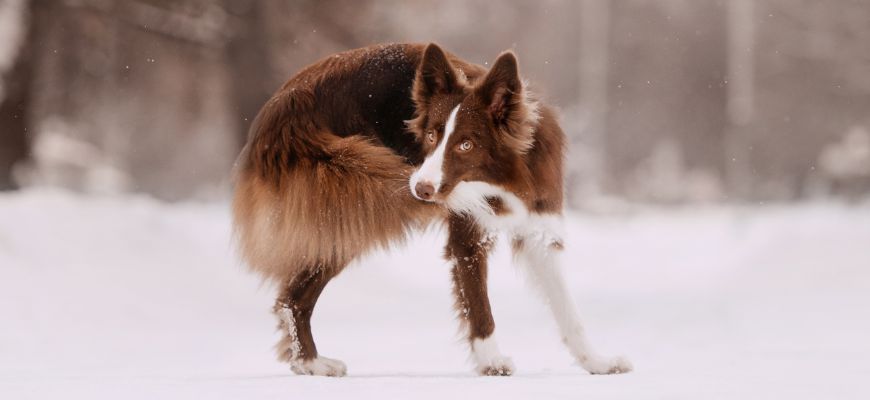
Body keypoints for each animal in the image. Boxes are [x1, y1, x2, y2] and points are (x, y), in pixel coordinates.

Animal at [232, 42, 632, 376]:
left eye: (466, 144)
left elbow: (568, 309)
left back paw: (307, 363)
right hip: (352, 201)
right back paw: (312, 363)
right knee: (294, 297)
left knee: (292, 297)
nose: (421, 189)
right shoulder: (468, 237)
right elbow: (478, 304)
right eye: (430, 137)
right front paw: (492, 363)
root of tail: (276, 110)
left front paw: (596, 362)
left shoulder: (539, 226)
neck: (501, 180)